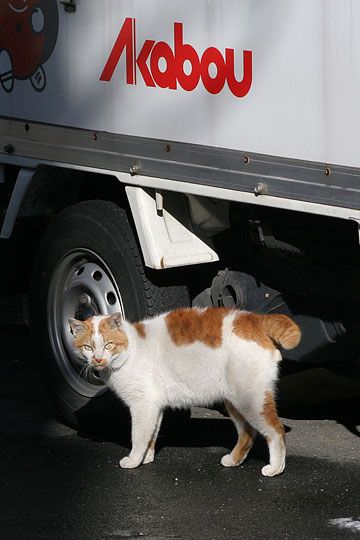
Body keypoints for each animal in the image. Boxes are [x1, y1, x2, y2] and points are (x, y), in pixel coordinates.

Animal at [69, 308, 300, 476]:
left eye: (108, 345)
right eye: (88, 347)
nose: (98, 359)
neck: (132, 349)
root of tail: (253, 319)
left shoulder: (142, 405)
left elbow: (139, 436)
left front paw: (134, 460)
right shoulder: (154, 407)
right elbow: (151, 434)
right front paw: (147, 458)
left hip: (251, 400)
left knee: (275, 431)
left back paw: (275, 469)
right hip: (234, 401)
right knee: (247, 433)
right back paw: (233, 460)